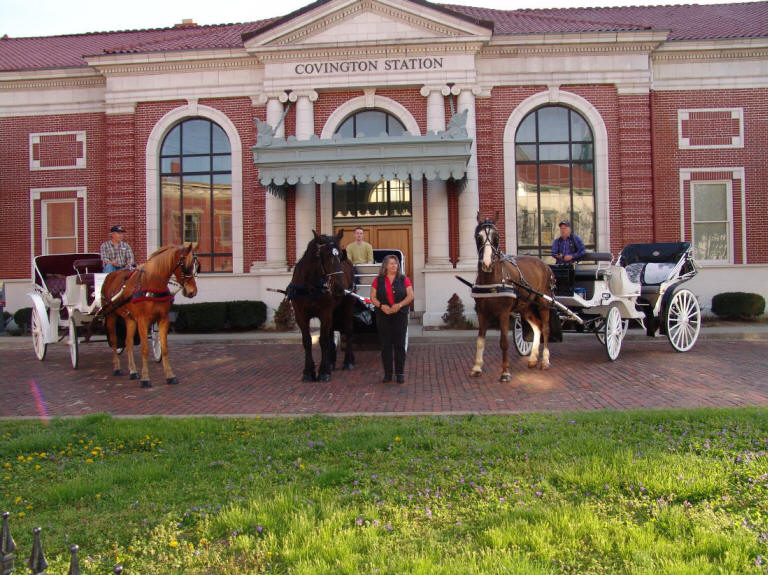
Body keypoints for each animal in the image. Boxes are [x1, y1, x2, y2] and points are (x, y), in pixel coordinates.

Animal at [99, 243, 200, 388]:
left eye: (197, 266)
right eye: (185, 266)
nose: (192, 292)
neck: (152, 284)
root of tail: (110, 275)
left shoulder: (163, 319)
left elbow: (164, 348)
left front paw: (170, 375)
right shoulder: (143, 321)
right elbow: (145, 350)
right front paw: (145, 378)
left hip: (129, 319)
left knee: (128, 342)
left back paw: (133, 371)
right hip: (111, 316)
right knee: (113, 341)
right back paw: (117, 368)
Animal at [288, 230, 356, 382]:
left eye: (340, 255)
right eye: (325, 255)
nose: (340, 288)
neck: (310, 285)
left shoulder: (325, 313)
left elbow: (323, 340)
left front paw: (323, 372)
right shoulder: (300, 315)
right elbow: (307, 341)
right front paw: (308, 371)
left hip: (347, 308)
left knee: (349, 330)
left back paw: (348, 361)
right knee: (332, 333)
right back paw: (331, 361)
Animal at [472, 216, 556, 382]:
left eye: (496, 237)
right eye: (478, 236)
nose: (487, 263)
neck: (492, 280)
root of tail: (545, 265)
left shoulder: (504, 313)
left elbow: (504, 342)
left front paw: (505, 372)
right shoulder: (482, 312)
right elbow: (480, 341)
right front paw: (477, 367)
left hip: (544, 304)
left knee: (545, 329)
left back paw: (545, 360)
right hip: (526, 307)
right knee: (537, 327)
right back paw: (532, 359)